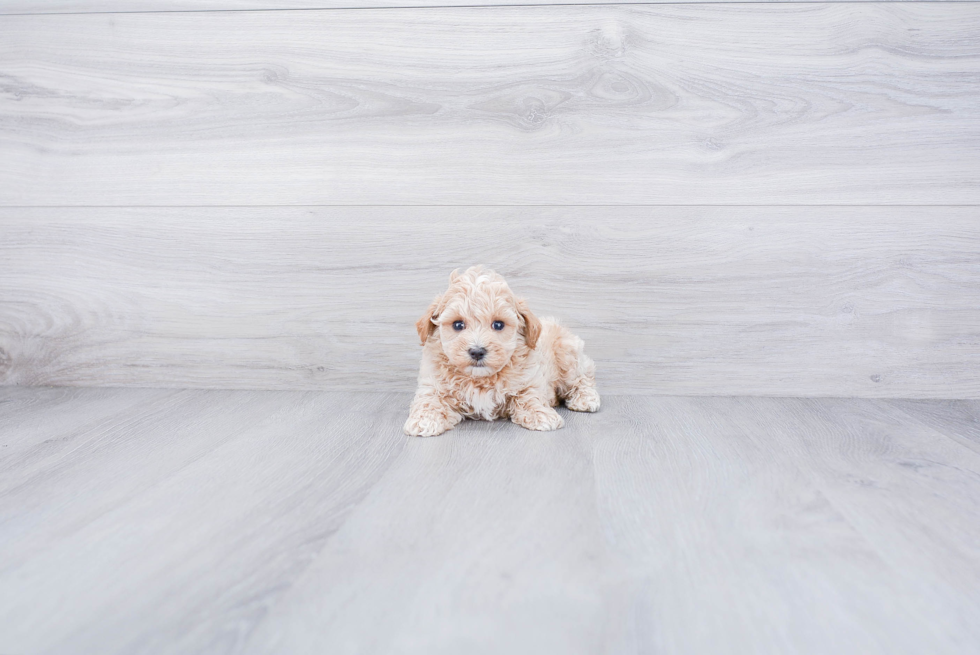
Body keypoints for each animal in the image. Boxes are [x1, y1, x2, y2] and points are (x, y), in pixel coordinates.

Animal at [404, 264, 600, 438]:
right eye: (458, 325)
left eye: (498, 325)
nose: (477, 351)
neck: (480, 379)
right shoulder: (432, 383)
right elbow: (429, 399)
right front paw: (424, 421)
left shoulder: (530, 378)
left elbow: (530, 396)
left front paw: (541, 415)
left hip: (568, 355)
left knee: (584, 377)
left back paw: (586, 399)